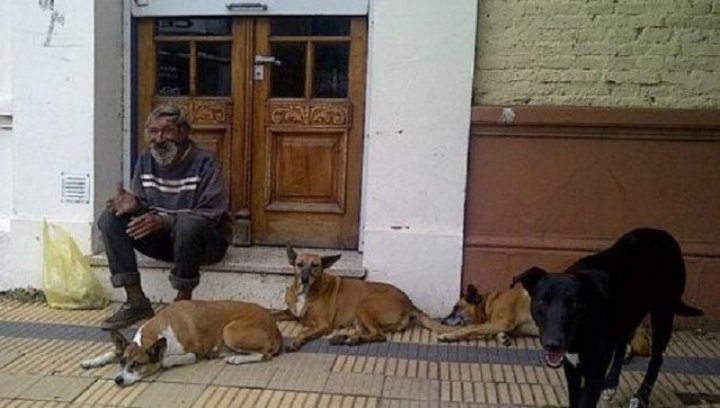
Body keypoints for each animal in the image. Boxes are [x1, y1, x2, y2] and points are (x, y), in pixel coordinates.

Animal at [80, 300, 280, 386]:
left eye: (137, 364)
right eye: (122, 362)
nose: (118, 380)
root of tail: (274, 326)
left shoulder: (194, 354)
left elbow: (166, 360)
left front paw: (163, 362)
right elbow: (111, 352)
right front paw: (91, 361)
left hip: (229, 331)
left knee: (265, 354)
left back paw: (236, 359)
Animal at [272, 245, 452, 350]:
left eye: (315, 266)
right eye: (299, 264)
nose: (304, 278)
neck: (306, 291)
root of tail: (409, 303)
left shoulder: (323, 325)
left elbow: (304, 332)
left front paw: (296, 341)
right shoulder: (291, 313)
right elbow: (274, 313)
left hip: (364, 306)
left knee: (379, 335)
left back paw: (351, 339)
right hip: (360, 318)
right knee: (371, 332)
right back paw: (345, 337)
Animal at [438, 286, 652, 358]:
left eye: (456, 308)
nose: (443, 319)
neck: (490, 302)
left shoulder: (500, 322)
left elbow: (471, 328)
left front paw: (448, 335)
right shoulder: (504, 326)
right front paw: (504, 339)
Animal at [512, 228, 704, 406]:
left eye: (574, 304)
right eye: (542, 301)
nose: (553, 344)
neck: (581, 334)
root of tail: (665, 235)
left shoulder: (595, 374)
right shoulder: (571, 369)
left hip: (663, 313)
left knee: (656, 359)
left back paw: (640, 397)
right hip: (628, 317)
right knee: (621, 346)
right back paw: (612, 383)